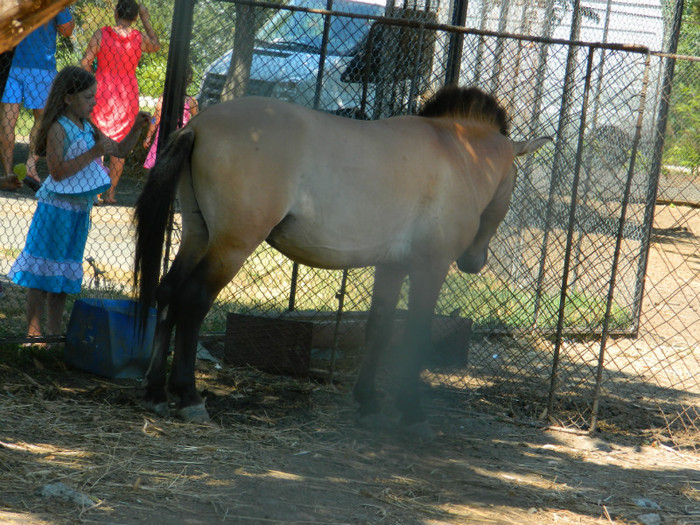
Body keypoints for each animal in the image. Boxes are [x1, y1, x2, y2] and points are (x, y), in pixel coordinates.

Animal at [134, 85, 548, 430]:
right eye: (513, 179)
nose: (473, 262)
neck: (455, 152)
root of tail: (199, 125)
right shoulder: (430, 267)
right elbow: (416, 333)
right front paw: (411, 410)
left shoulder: (392, 267)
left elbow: (379, 328)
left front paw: (368, 402)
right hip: (232, 244)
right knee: (192, 300)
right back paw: (189, 398)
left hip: (198, 235)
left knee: (167, 293)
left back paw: (155, 393)